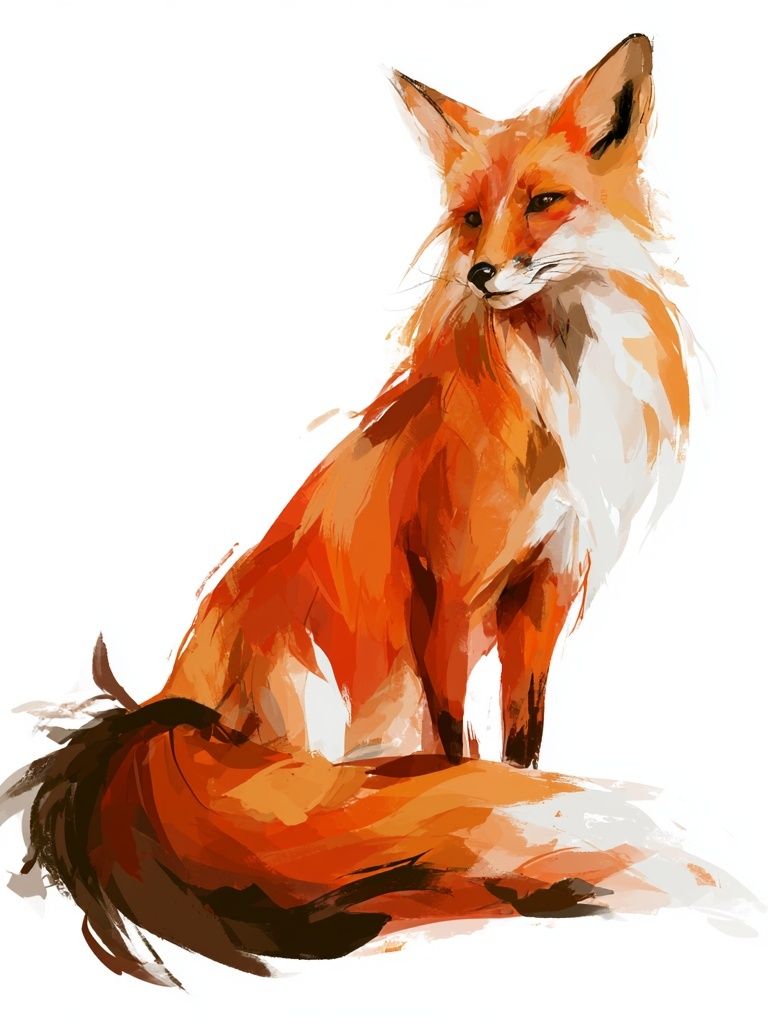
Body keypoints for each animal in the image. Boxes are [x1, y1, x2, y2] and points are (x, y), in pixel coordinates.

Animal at [2, 34, 750, 987]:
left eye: (544, 203)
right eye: (469, 218)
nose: (480, 273)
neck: (556, 393)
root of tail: (171, 708)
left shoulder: (541, 593)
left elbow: (524, 739)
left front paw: (523, 802)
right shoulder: (451, 595)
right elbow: (460, 752)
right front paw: (490, 817)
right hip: (305, 682)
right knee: (328, 809)